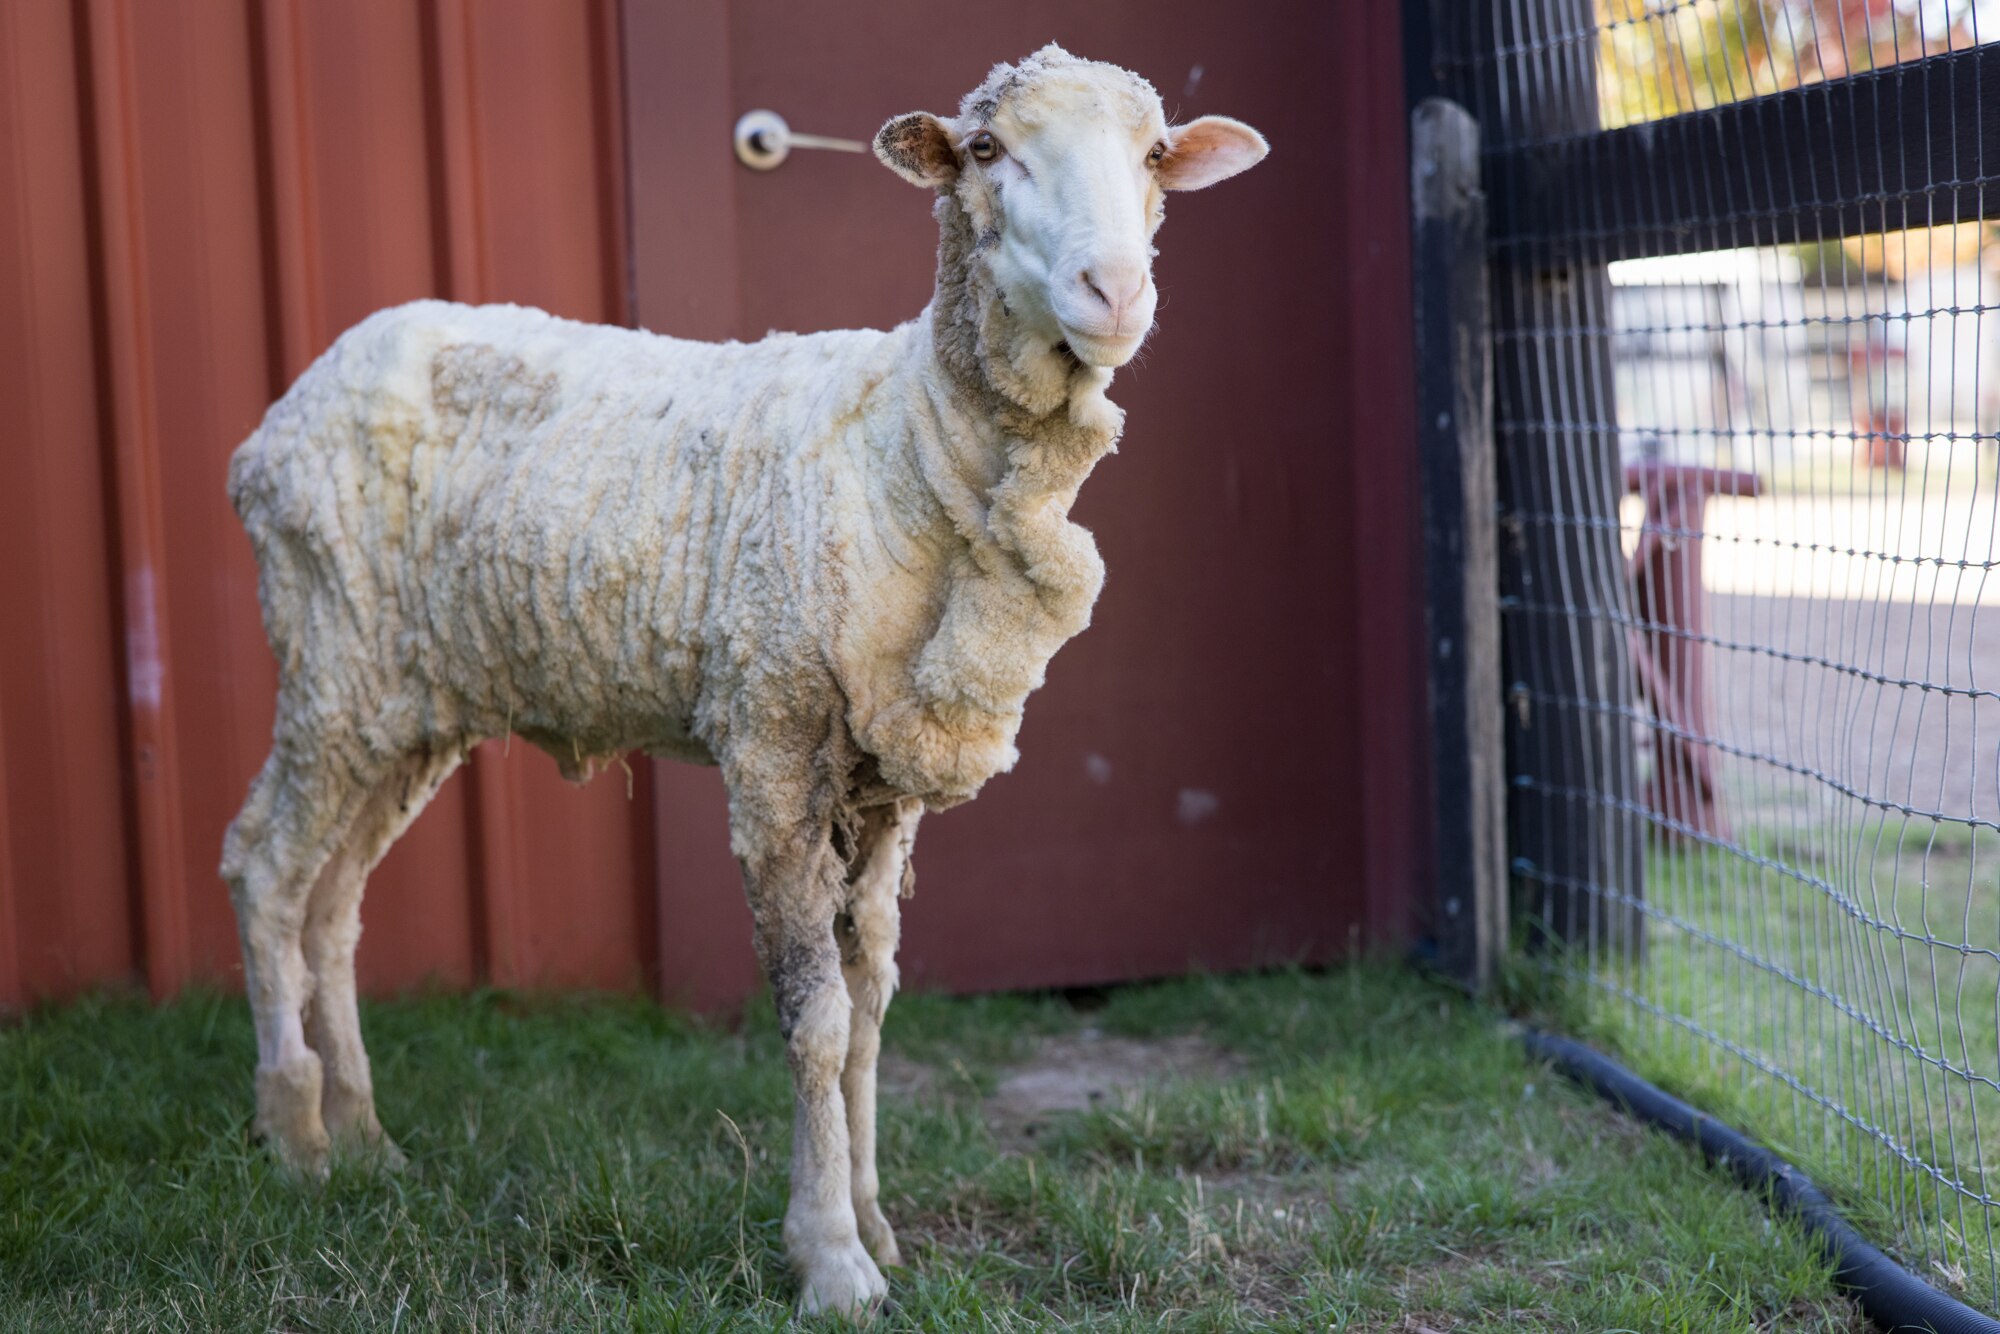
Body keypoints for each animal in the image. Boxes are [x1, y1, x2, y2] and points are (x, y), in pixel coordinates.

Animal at [220, 43, 1267, 1315]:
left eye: (1155, 156)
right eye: (984, 149)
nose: (1113, 291)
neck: (908, 453)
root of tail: (282, 414)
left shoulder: (881, 779)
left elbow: (869, 1011)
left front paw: (878, 1224)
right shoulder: (772, 740)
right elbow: (814, 1018)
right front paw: (830, 1259)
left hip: (406, 700)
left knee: (333, 901)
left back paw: (368, 1138)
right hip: (331, 657)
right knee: (268, 867)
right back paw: (297, 1139)